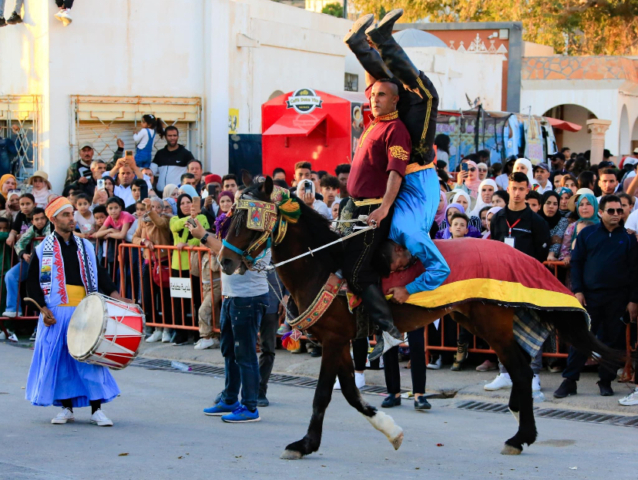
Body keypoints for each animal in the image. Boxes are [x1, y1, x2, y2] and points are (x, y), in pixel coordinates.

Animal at [221, 178, 624, 460]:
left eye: (247, 219)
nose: (225, 261)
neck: (322, 263)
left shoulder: (334, 339)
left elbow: (323, 396)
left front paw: (304, 444)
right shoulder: (341, 340)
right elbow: (350, 393)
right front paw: (390, 431)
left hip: (493, 325)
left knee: (522, 371)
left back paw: (519, 436)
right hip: (476, 321)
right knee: (520, 369)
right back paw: (521, 429)